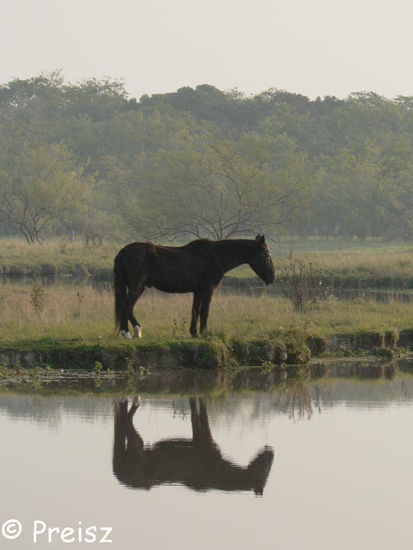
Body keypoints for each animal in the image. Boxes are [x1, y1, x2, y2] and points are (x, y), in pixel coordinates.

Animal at [112, 396, 274, 496]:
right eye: (265, 472)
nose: (271, 451)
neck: (217, 471)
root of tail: (121, 476)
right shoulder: (205, 439)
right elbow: (202, 412)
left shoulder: (199, 437)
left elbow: (194, 413)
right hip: (137, 446)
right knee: (127, 421)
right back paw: (136, 402)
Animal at [113, 234, 274, 340]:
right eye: (266, 254)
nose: (272, 278)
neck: (215, 256)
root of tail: (123, 251)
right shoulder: (208, 290)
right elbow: (204, 311)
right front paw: (205, 332)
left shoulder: (198, 291)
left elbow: (195, 310)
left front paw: (194, 333)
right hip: (137, 286)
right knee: (127, 305)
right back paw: (126, 333)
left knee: (128, 307)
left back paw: (137, 331)